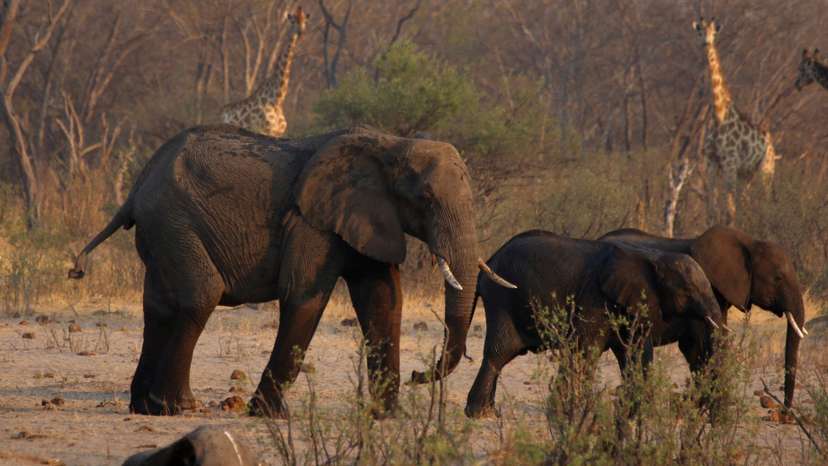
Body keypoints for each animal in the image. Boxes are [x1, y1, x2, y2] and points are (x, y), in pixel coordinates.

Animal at [68, 125, 514, 417]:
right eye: (425, 198)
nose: (421, 375)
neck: (391, 143)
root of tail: (136, 188)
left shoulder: (367, 218)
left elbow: (383, 301)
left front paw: (387, 417)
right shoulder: (311, 222)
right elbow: (304, 297)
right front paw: (266, 415)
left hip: (162, 232)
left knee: (158, 306)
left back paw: (144, 407)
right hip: (174, 222)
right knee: (199, 297)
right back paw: (178, 408)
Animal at [220, 6, 308, 137]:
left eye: (305, 21)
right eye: (293, 21)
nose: (301, 32)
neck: (277, 100)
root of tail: (222, 112)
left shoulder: (278, 133)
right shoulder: (265, 130)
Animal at [464, 230, 724, 418]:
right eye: (688, 291)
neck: (651, 257)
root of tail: (488, 261)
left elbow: (635, 352)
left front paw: (636, 411)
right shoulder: (595, 299)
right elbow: (586, 351)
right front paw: (571, 412)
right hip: (502, 298)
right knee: (499, 352)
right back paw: (480, 415)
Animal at [693, 18, 778, 222]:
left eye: (714, 33)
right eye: (700, 32)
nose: (707, 43)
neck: (718, 115)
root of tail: (772, 145)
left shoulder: (730, 162)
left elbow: (729, 211)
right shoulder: (712, 162)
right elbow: (712, 210)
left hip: (766, 170)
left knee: (764, 202)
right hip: (747, 174)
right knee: (745, 201)